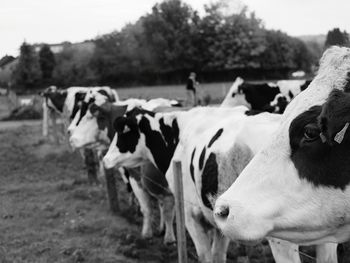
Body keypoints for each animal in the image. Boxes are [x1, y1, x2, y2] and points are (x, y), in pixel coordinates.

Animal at [102, 106, 336, 263]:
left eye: (122, 132)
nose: (105, 159)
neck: (179, 135)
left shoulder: (189, 213)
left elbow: (205, 255)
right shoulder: (219, 218)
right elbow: (218, 254)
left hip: (282, 241)